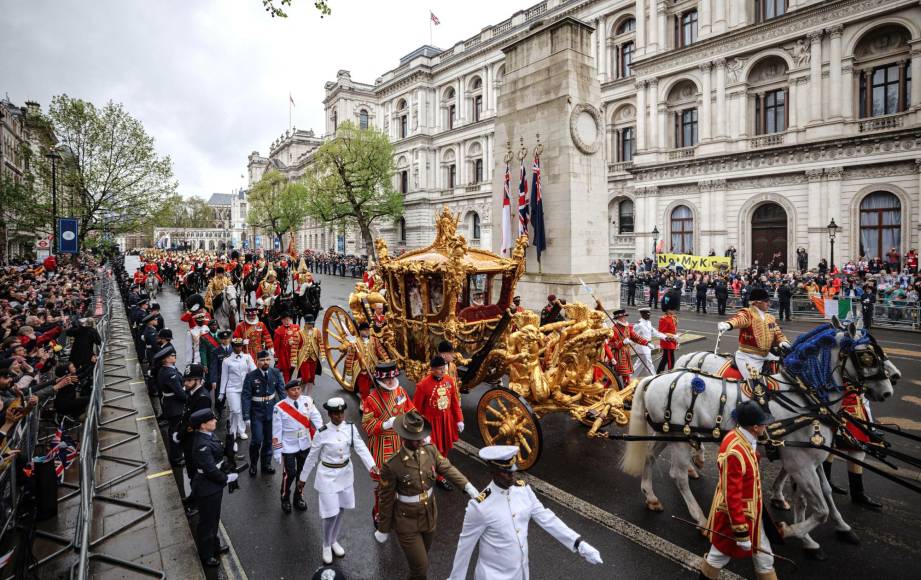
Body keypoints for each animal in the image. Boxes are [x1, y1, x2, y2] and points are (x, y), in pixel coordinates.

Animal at [620, 320, 900, 556]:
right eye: (867, 355)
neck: (802, 396)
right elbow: (819, 509)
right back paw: (699, 518)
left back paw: (653, 497)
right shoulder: (799, 462)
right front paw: (790, 530)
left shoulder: (808, 458)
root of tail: (656, 377)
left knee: (650, 457)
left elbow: (824, 493)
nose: (889, 388)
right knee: (677, 475)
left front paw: (830, 529)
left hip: (668, 432)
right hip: (679, 436)